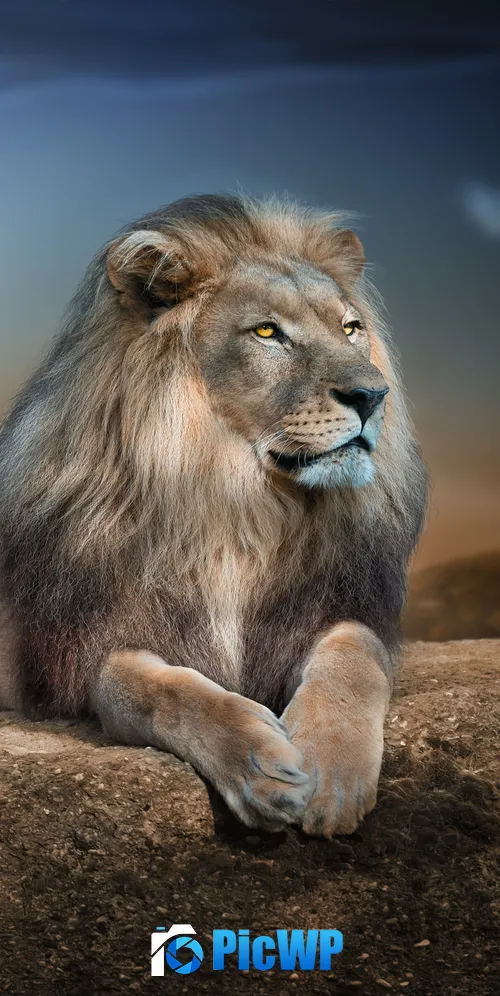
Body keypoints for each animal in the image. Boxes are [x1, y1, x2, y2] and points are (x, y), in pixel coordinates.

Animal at [0, 194, 427, 836]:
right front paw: (261, 767)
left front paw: (331, 770)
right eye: (268, 332)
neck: (235, 503)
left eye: (351, 328)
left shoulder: (339, 605)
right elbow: (158, 690)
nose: (373, 396)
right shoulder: (89, 644)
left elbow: (354, 659)